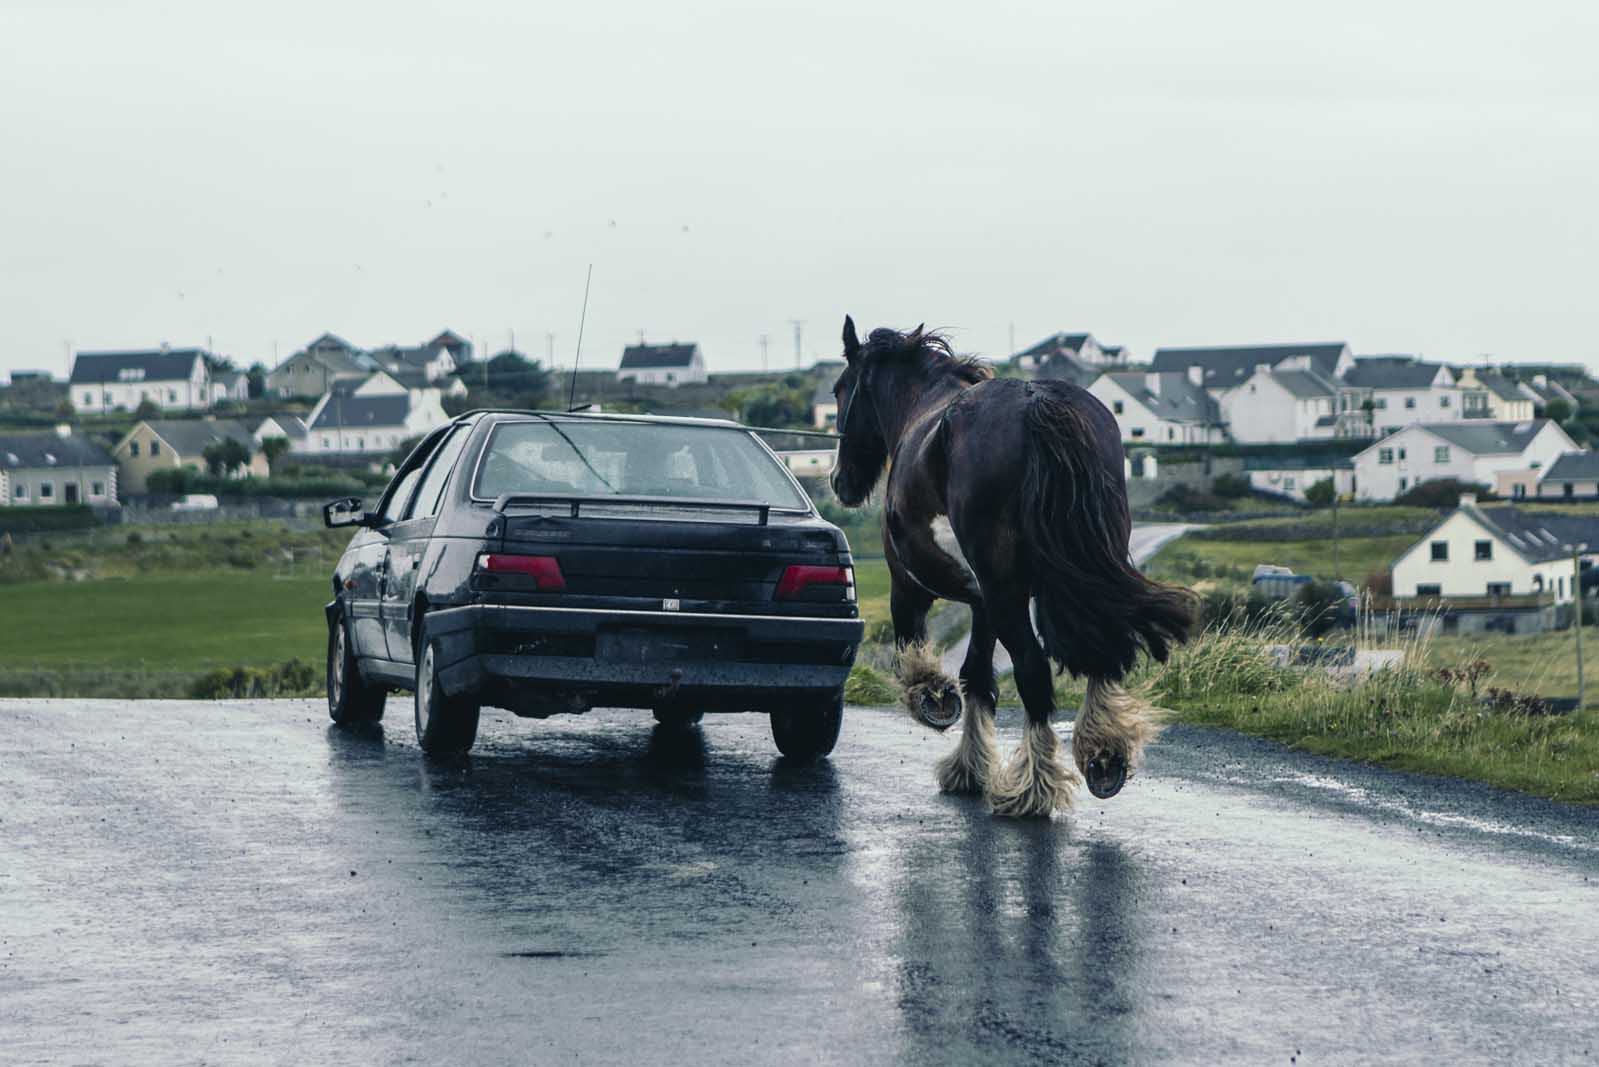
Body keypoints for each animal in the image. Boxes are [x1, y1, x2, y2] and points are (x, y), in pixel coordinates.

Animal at [831, 316, 1196, 819]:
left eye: (839, 390)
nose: (839, 482)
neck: (922, 407)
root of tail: (1038, 404)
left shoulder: (910, 585)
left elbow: (914, 647)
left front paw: (934, 698)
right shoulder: (982, 600)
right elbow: (977, 676)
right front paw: (968, 766)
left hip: (1007, 590)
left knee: (1033, 669)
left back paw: (1034, 788)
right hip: (1078, 574)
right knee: (1099, 645)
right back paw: (1103, 757)